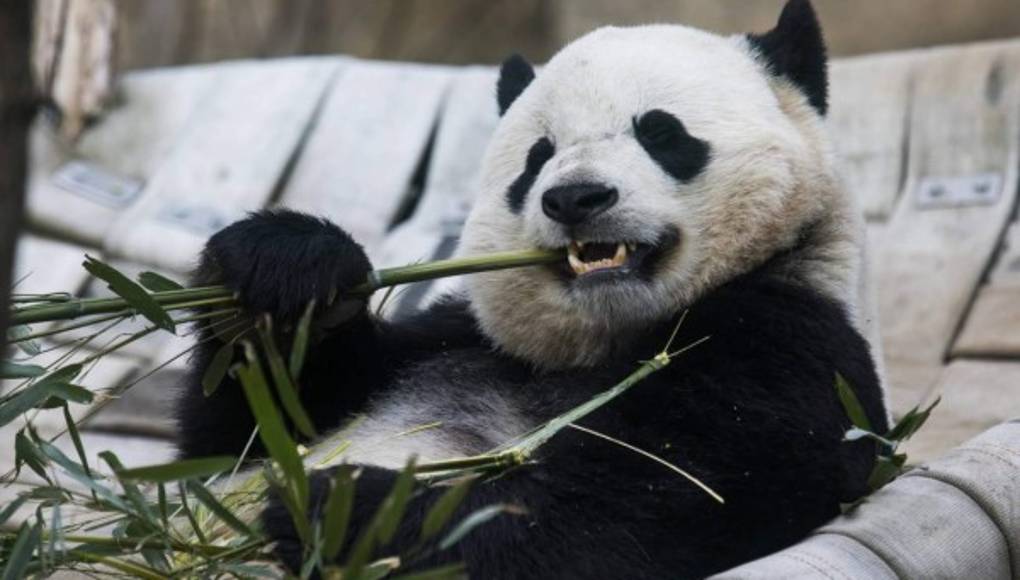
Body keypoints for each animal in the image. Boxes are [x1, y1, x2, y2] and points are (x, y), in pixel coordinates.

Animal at [175, 0, 888, 577]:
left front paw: (351, 508)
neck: (604, 335)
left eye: (661, 132)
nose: (576, 197)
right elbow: (243, 439)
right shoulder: (454, 336)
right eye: (538, 156)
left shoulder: (791, 344)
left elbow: (649, 502)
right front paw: (284, 271)